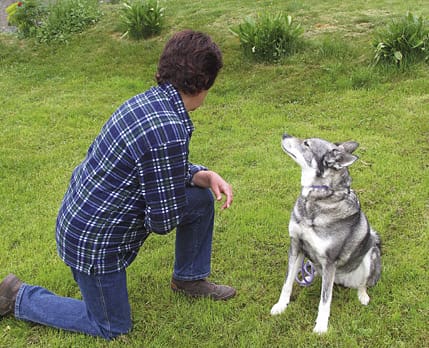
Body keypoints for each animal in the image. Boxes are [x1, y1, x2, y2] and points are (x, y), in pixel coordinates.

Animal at [270, 132, 382, 334]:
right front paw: (281, 306)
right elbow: (287, 283)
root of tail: (343, 280)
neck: (316, 198)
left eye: (307, 143)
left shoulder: (329, 261)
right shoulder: (296, 246)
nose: (284, 134)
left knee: (363, 284)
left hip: (371, 255)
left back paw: (363, 296)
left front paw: (321, 326)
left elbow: (325, 300)